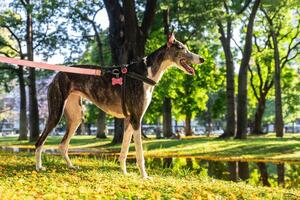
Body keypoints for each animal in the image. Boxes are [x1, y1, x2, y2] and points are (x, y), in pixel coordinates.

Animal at [35, 33, 204, 179]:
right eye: (183, 48)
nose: (202, 59)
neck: (145, 73)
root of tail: (58, 74)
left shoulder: (129, 120)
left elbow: (124, 151)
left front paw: (124, 172)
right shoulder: (136, 119)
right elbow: (139, 153)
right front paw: (144, 176)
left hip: (76, 116)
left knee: (63, 145)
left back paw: (71, 166)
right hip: (56, 113)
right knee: (40, 142)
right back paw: (38, 167)